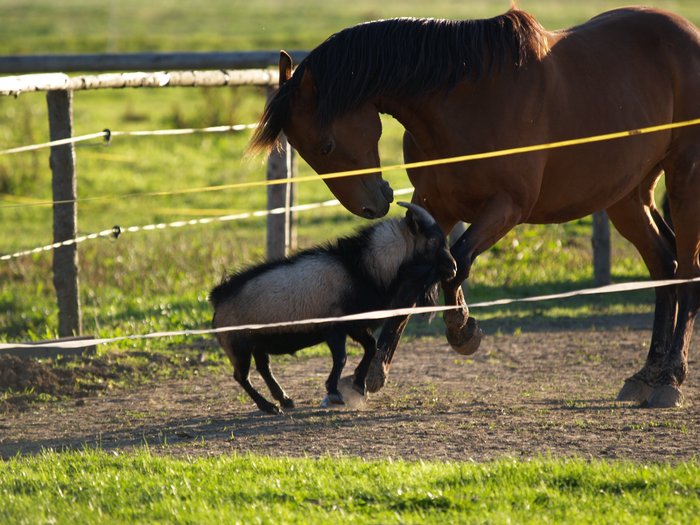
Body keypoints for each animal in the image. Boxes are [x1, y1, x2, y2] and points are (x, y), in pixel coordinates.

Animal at [208, 203, 456, 412]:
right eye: (433, 241)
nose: (453, 268)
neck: (361, 267)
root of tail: (218, 297)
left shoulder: (356, 325)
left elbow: (371, 347)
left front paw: (359, 385)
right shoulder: (335, 327)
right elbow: (341, 358)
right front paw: (335, 392)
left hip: (258, 343)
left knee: (263, 368)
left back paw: (284, 399)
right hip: (238, 345)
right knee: (242, 376)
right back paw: (268, 406)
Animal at [252, 9, 700, 410]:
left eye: (325, 145)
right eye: (303, 151)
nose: (372, 204)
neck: (466, 100)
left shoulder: (507, 207)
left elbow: (457, 262)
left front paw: (461, 329)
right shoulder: (435, 206)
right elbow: (417, 275)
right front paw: (371, 373)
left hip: (683, 182)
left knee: (687, 273)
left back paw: (670, 378)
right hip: (627, 196)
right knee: (664, 266)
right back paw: (646, 375)